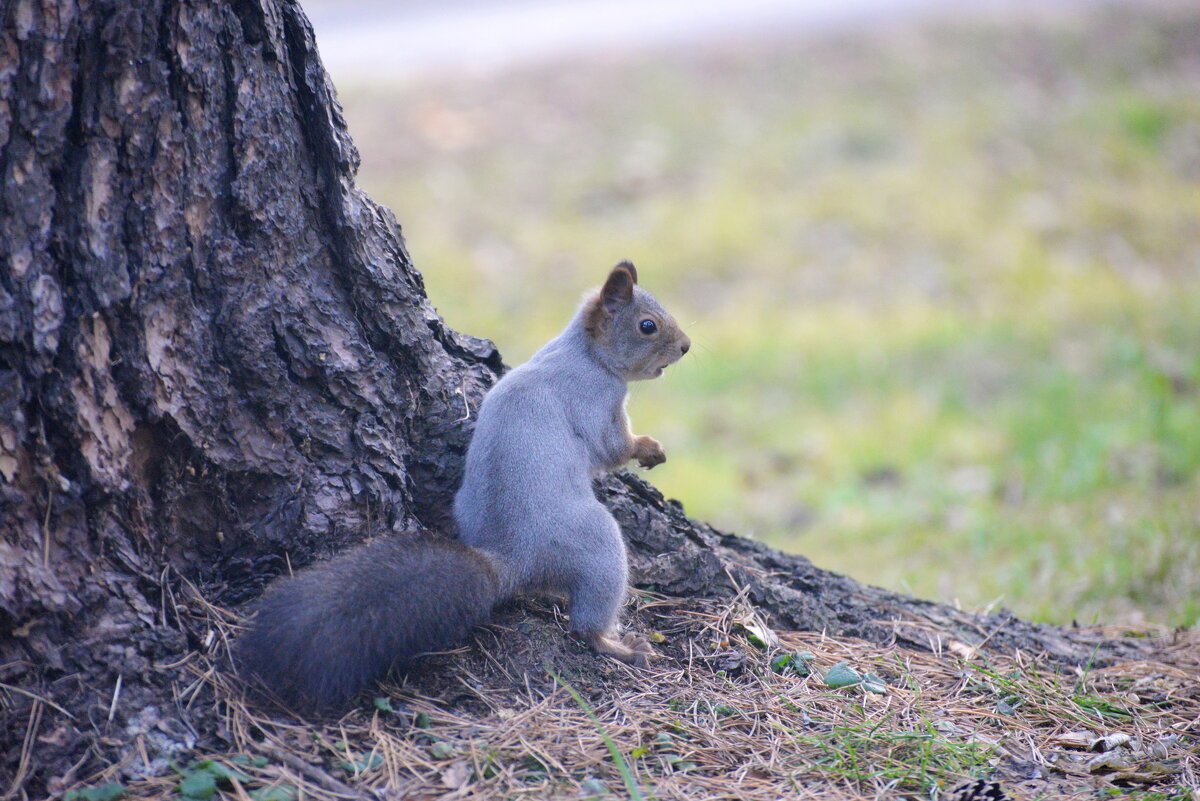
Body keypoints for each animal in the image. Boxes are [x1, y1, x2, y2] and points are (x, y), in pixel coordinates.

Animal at [232, 261, 691, 705]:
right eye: (647, 325)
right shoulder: (596, 400)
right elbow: (612, 449)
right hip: (597, 544)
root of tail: (511, 559)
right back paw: (618, 646)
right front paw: (649, 448)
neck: (583, 352)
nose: (686, 346)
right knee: (585, 626)